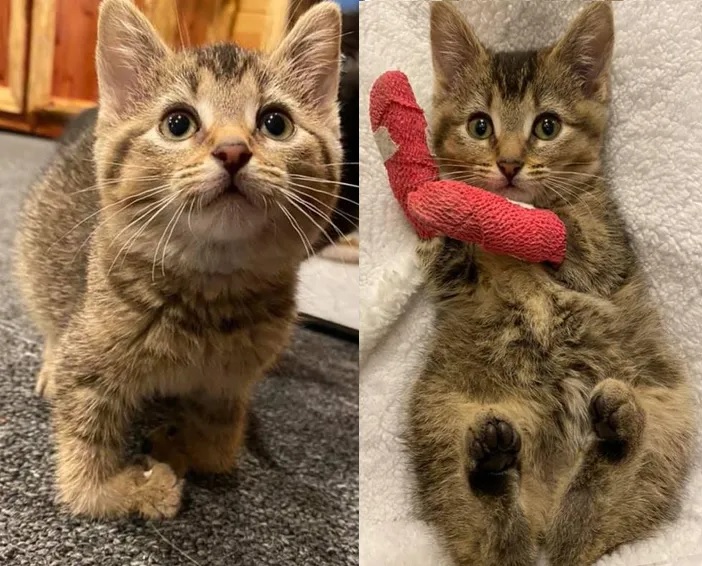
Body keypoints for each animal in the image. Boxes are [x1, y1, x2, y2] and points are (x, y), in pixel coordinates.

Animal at [13, 0, 344, 520]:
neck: (208, 296)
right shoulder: (87, 367)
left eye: (276, 123)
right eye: (177, 123)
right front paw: (125, 489)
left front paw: (178, 443)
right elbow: (85, 454)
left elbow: (219, 446)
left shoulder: (230, 382)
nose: (233, 150)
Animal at [408, 2, 700, 564]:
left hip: (668, 415)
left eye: (547, 126)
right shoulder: (458, 284)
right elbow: (451, 257)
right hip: (441, 415)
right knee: (495, 537)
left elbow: (573, 236)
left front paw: (542, 221)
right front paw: (456, 209)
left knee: (592, 521)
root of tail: (544, 510)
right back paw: (493, 464)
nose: (508, 164)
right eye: (480, 125)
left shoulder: (608, 248)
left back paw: (615, 433)